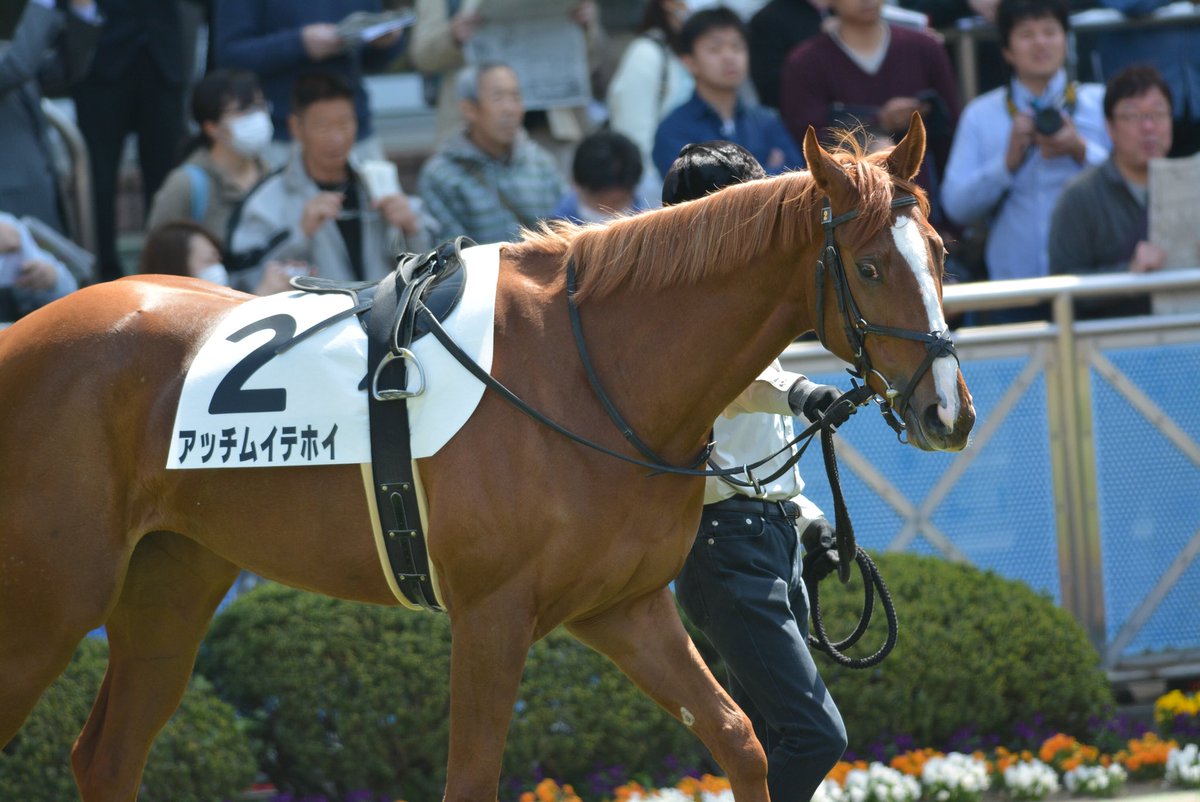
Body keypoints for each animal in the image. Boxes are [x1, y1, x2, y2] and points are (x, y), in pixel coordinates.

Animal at [0, 120, 969, 802]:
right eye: (870, 266)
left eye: (940, 254)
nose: (948, 413)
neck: (585, 370)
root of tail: (21, 335)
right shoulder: (491, 616)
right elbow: (470, 781)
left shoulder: (624, 608)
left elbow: (740, 740)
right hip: (49, 604)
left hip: (168, 587)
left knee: (107, 759)